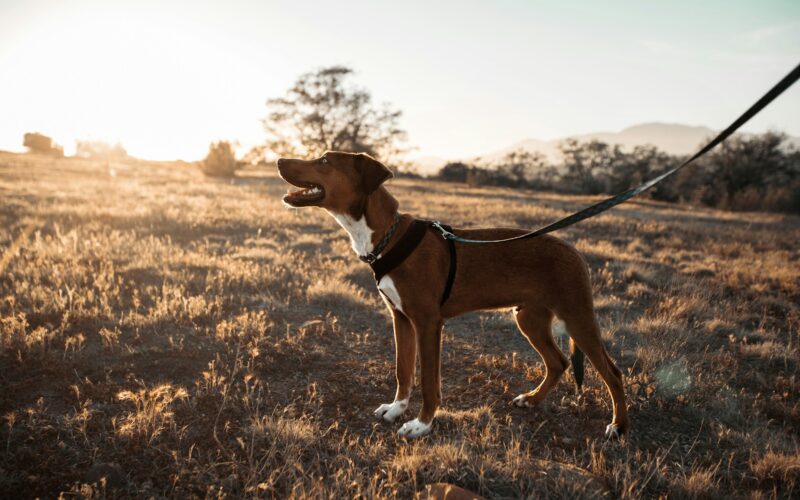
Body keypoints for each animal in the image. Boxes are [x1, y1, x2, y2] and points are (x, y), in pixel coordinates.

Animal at [278, 149, 628, 438]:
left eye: (325, 160)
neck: (387, 236)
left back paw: (618, 426)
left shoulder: (428, 323)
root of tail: (574, 251)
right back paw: (532, 399)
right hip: (530, 318)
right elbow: (403, 371)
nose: (279, 160)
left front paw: (421, 424)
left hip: (577, 316)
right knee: (558, 362)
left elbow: (429, 382)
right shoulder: (401, 319)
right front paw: (396, 409)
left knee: (612, 372)